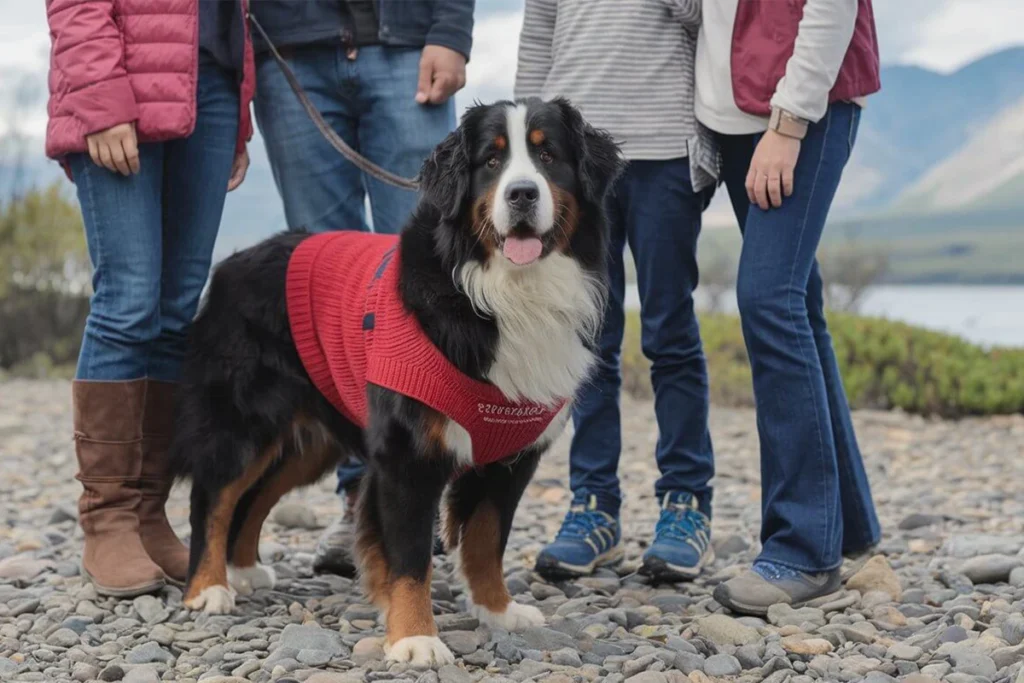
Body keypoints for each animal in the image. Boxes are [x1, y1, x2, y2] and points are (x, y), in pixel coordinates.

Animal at [165, 97, 622, 667]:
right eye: (491, 162)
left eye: (548, 155)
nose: (521, 193)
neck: (501, 293)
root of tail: (229, 264)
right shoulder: (408, 453)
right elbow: (409, 558)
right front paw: (414, 637)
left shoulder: (511, 458)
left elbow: (487, 541)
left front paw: (497, 610)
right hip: (243, 422)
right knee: (215, 498)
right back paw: (208, 588)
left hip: (307, 443)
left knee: (254, 499)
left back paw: (245, 570)